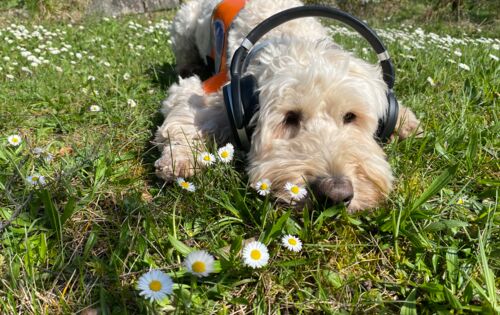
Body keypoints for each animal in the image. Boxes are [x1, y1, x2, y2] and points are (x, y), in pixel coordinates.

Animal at [154, 0, 420, 212]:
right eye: (290, 117)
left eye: (350, 116)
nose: (335, 194)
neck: (293, 38)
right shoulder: (209, 94)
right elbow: (184, 121)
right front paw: (180, 159)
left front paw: (404, 121)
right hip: (183, 27)